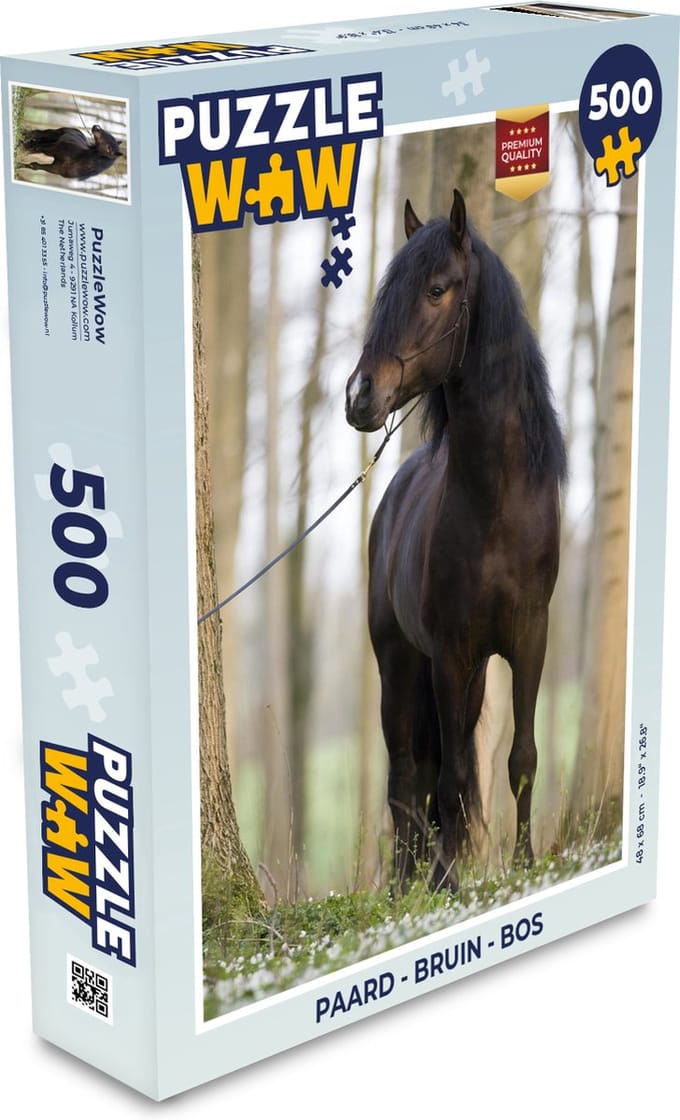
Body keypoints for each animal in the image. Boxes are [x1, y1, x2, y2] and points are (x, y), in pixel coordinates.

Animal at [345, 188, 566, 892]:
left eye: (437, 289)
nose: (360, 396)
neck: (494, 506)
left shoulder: (528, 639)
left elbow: (519, 758)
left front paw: (523, 866)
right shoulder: (448, 652)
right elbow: (446, 777)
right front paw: (447, 884)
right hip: (400, 664)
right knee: (406, 772)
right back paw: (406, 883)